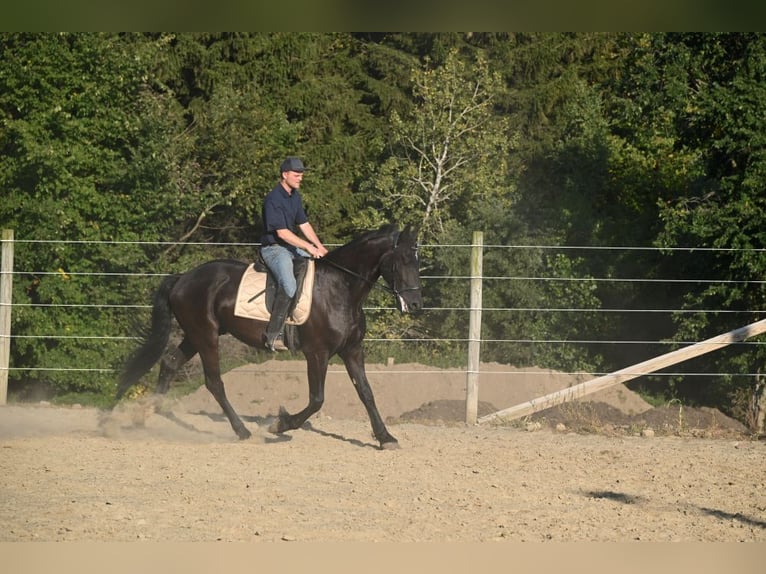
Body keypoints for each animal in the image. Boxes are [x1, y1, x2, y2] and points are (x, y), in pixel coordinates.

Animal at [115, 223, 422, 449]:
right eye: (403, 259)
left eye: (418, 260)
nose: (416, 304)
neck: (341, 288)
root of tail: (183, 278)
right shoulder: (317, 353)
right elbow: (317, 399)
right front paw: (281, 424)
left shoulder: (352, 350)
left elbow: (366, 393)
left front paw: (385, 438)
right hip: (206, 336)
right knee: (214, 382)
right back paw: (241, 431)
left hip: (194, 335)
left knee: (169, 364)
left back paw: (143, 416)